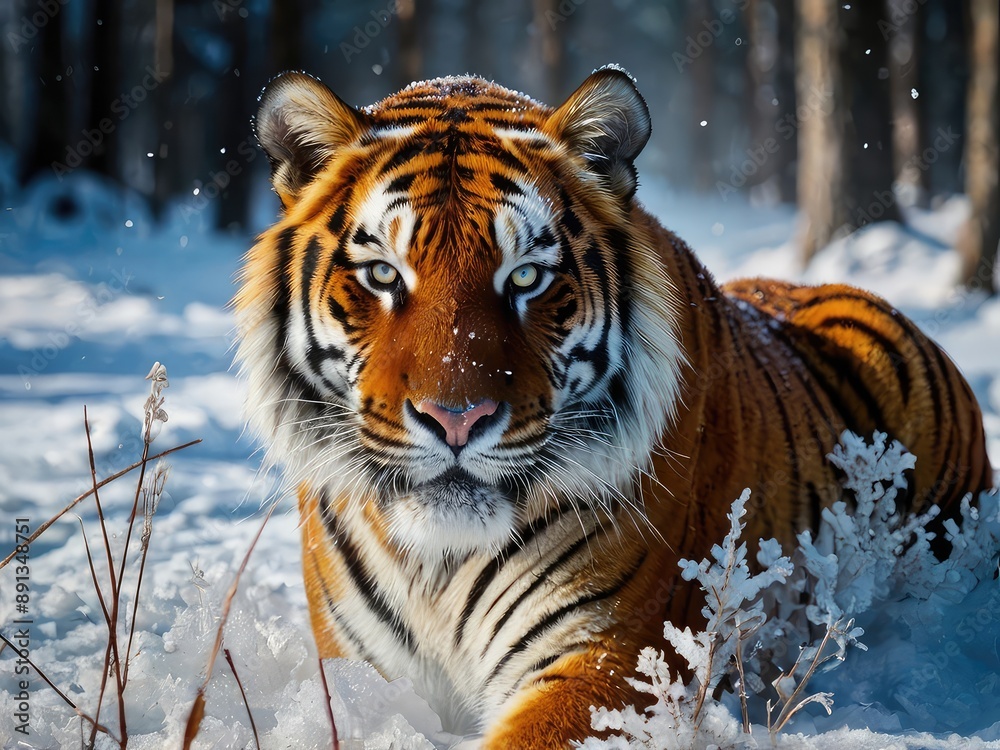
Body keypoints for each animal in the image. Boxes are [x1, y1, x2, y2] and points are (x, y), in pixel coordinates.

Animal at [233, 66, 993, 748]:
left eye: (526, 277)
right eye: (383, 275)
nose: (457, 420)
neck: (439, 566)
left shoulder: (608, 660)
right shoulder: (361, 671)